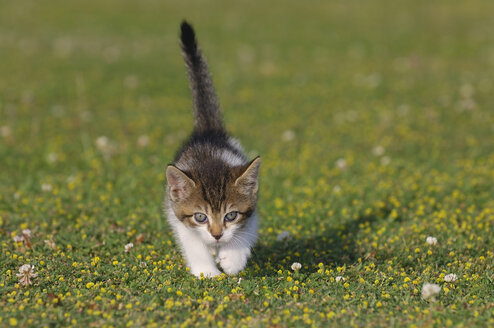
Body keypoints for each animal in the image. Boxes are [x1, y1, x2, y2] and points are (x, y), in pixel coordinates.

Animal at [164, 21, 260, 276]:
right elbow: (193, 243)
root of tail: (208, 130)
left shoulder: (252, 209)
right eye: (200, 217)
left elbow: (246, 231)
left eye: (231, 215)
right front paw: (206, 272)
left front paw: (233, 259)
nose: (217, 235)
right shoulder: (178, 214)